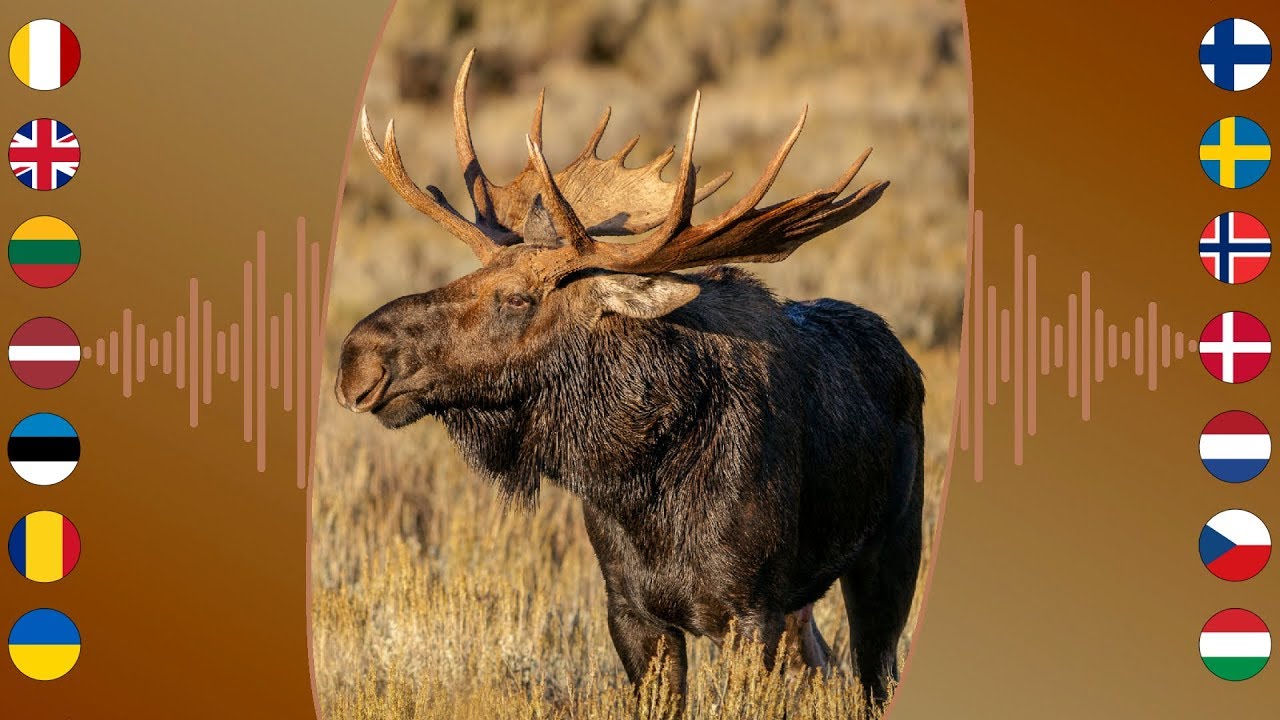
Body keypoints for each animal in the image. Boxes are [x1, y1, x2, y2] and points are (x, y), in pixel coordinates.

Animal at [335, 50, 925, 712]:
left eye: (518, 297)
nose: (358, 358)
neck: (641, 485)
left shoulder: (753, 612)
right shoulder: (630, 610)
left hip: (890, 553)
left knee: (875, 673)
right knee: (824, 661)